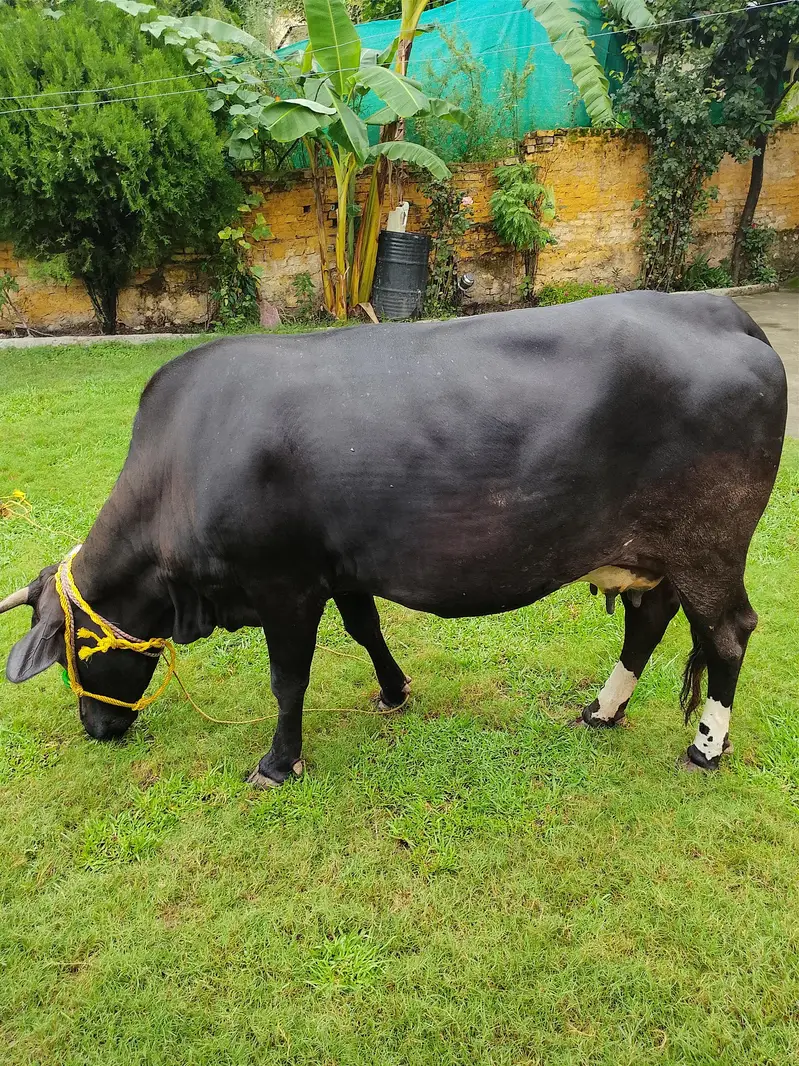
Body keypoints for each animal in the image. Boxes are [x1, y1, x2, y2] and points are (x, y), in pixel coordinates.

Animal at [0, 291, 787, 786]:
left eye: (77, 649)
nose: (95, 730)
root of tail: (723, 312)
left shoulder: (284, 584)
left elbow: (289, 678)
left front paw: (277, 763)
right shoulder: (339, 569)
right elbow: (366, 628)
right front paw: (392, 690)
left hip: (709, 546)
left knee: (727, 633)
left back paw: (705, 748)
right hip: (646, 553)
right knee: (649, 621)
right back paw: (603, 709)